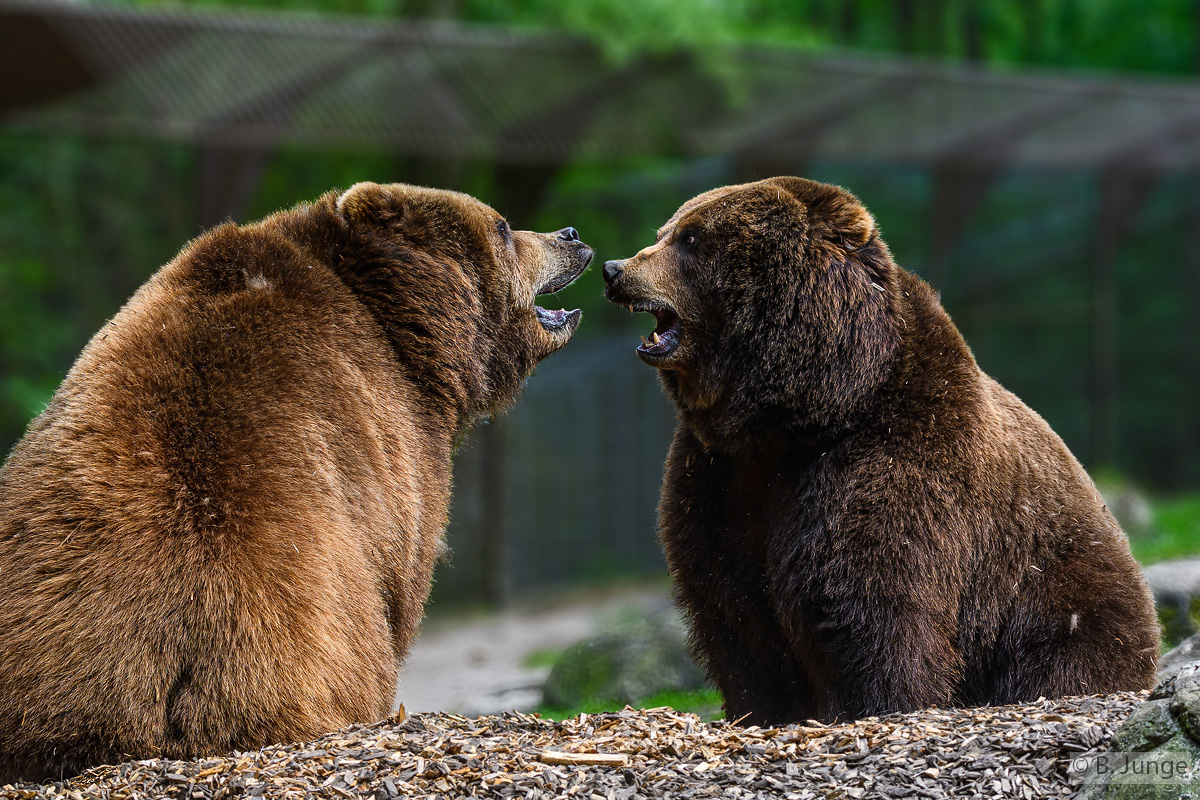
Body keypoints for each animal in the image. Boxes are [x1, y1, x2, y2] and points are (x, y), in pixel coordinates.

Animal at [604, 178, 1156, 729]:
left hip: (1052, 594)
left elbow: (868, 602)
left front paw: (874, 702)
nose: (615, 269)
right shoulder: (718, 478)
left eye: (692, 238)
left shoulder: (894, 455)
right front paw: (760, 709)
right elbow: (735, 612)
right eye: (666, 231)